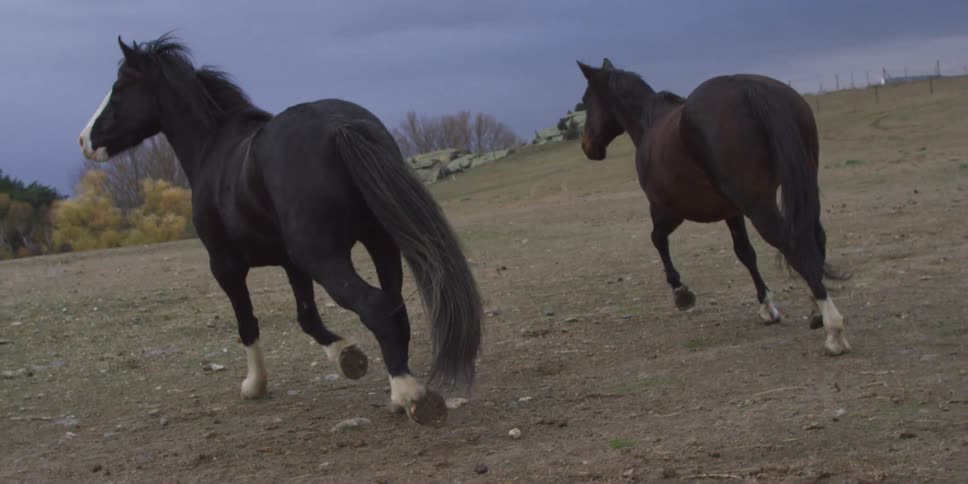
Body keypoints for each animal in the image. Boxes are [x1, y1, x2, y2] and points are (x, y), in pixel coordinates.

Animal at [78, 34, 483, 426]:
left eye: (120, 85)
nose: (84, 140)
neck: (214, 147)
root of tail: (340, 127)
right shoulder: (292, 265)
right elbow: (307, 318)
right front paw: (347, 357)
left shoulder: (225, 266)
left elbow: (247, 323)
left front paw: (254, 385)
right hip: (379, 243)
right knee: (394, 306)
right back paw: (401, 392)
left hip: (325, 258)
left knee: (376, 307)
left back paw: (411, 397)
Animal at [575, 58, 850, 356]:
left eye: (586, 100)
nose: (587, 146)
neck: (648, 122)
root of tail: (746, 87)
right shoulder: (733, 211)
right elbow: (745, 253)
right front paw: (766, 307)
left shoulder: (667, 210)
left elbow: (657, 239)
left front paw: (681, 292)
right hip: (804, 183)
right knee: (815, 237)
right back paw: (815, 309)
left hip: (758, 205)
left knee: (794, 244)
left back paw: (833, 330)